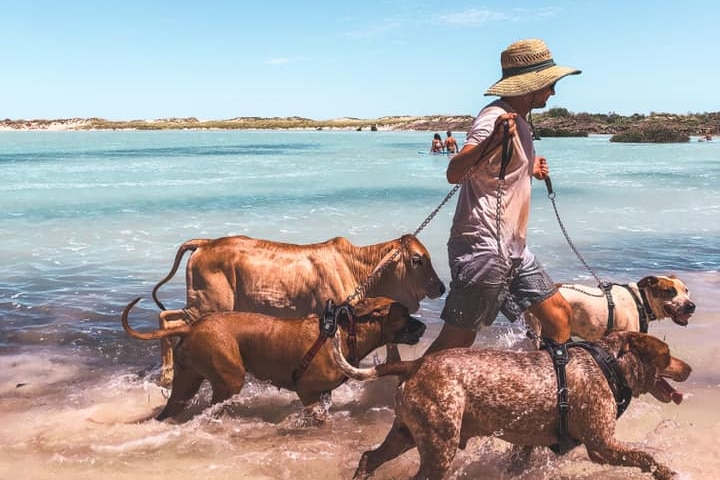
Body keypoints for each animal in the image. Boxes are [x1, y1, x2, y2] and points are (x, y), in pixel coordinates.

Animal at [123, 294, 424, 422]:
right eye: (406, 316)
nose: (422, 326)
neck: (345, 331)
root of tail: (192, 326)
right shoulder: (308, 392)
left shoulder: (324, 394)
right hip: (229, 378)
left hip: (186, 382)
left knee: (172, 406)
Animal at [152, 234, 444, 384]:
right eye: (417, 259)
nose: (441, 287)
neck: (358, 267)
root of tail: (205, 243)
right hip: (209, 305)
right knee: (170, 322)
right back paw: (166, 374)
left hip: (200, 304)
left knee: (165, 317)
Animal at [334, 330, 692, 480]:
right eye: (667, 354)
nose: (688, 368)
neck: (608, 362)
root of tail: (416, 364)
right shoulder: (601, 445)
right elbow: (645, 457)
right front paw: (664, 472)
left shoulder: (527, 444)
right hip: (439, 447)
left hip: (405, 434)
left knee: (368, 458)